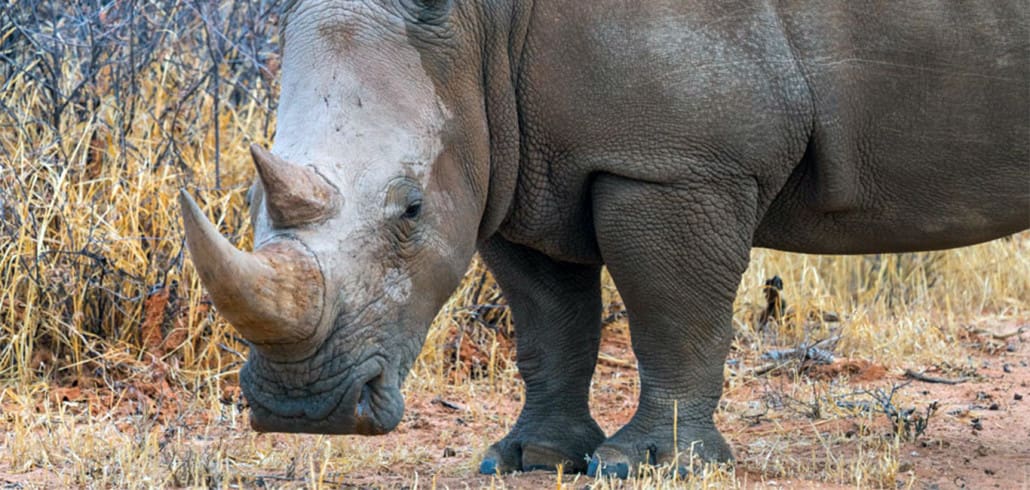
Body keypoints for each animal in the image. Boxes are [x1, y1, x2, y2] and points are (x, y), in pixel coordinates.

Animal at [179, 0, 1030, 477]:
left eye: (412, 209)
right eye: (250, 199)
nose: (304, 410)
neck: (482, 25)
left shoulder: (674, 162)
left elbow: (671, 317)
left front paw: (648, 464)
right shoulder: (515, 157)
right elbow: (549, 326)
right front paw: (529, 460)